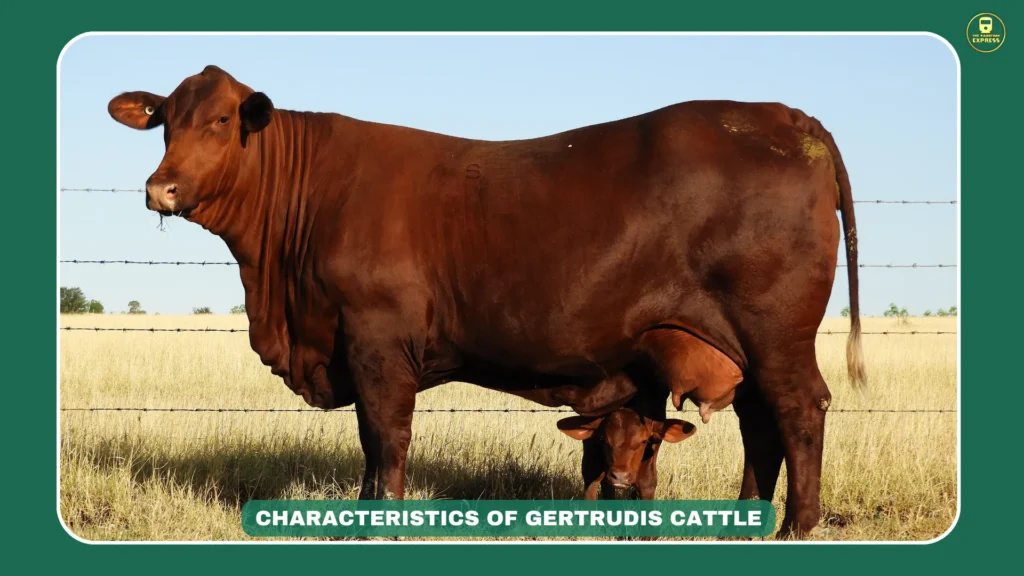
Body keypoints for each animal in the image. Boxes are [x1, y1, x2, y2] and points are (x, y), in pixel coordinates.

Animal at [107, 65, 866, 538]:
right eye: (165, 121)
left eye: (222, 119)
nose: (160, 188)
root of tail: (785, 116)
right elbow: (368, 451)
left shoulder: (378, 344)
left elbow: (386, 442)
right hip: (737, 344)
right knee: (760, 423)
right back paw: (746, 525)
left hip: (776, 332)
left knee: (799, 412)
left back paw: (796, 529)